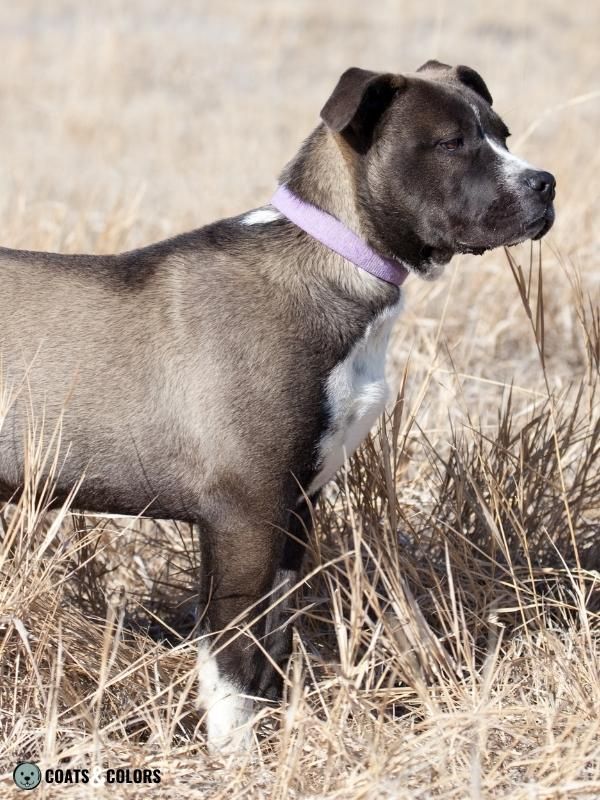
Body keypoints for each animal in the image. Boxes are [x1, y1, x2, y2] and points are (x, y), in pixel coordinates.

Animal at [0, 62, 552, 752]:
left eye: (502, 134)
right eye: (451, 143)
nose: (545, 185)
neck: (336, 259)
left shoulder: (295, 509)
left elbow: (273, 643)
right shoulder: (244, 513)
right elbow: (232, 657)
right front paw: (236, 753)